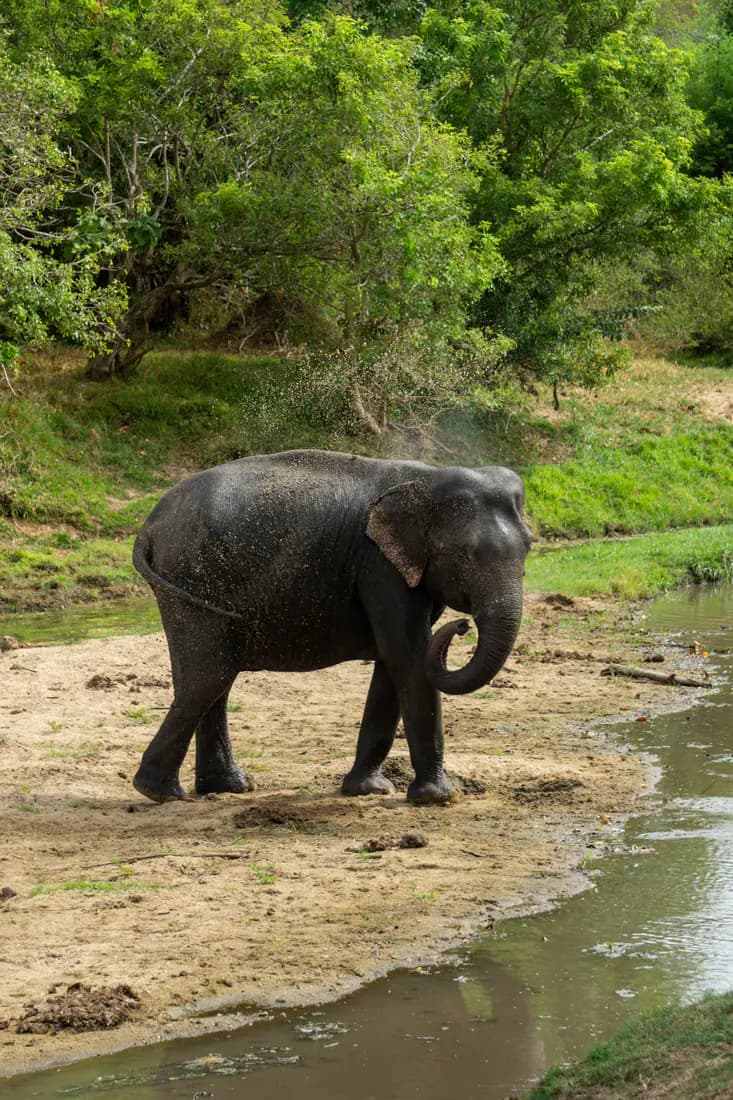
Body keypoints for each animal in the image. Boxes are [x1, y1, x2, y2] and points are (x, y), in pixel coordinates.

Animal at [131, 449, 531, 805]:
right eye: (465, 554)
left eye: (528, 548)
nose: (461, 626)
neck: (428, 478)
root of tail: (148, 527)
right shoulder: (379, 564)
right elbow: (408, 657)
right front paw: (437, 798)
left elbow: (392, 663)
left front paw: (367, 790)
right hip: (191, 579)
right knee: (208, 679)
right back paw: (159, 792)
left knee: (214, 680)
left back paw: (226, 787)